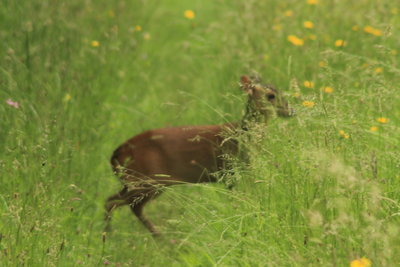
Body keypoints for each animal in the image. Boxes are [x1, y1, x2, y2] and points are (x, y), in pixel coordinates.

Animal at [104, 74, 292, 236]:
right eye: (271, 96)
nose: (291, 111)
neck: (241, 135)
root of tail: (116, 154)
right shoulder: (230, 171)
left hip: (136, 182)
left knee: (113, 201)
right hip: (148, 180)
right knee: (121, 204)